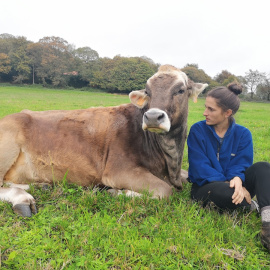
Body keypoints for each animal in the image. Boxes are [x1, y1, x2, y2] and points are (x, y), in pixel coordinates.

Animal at [0, 65, 208, 217]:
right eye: (148, 92)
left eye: (181, 90)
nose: (152, 117)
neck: (169, 162)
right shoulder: (118, 170)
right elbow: (165, 191)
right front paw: (116, 192)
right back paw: (22, 199)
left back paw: (39, 185)